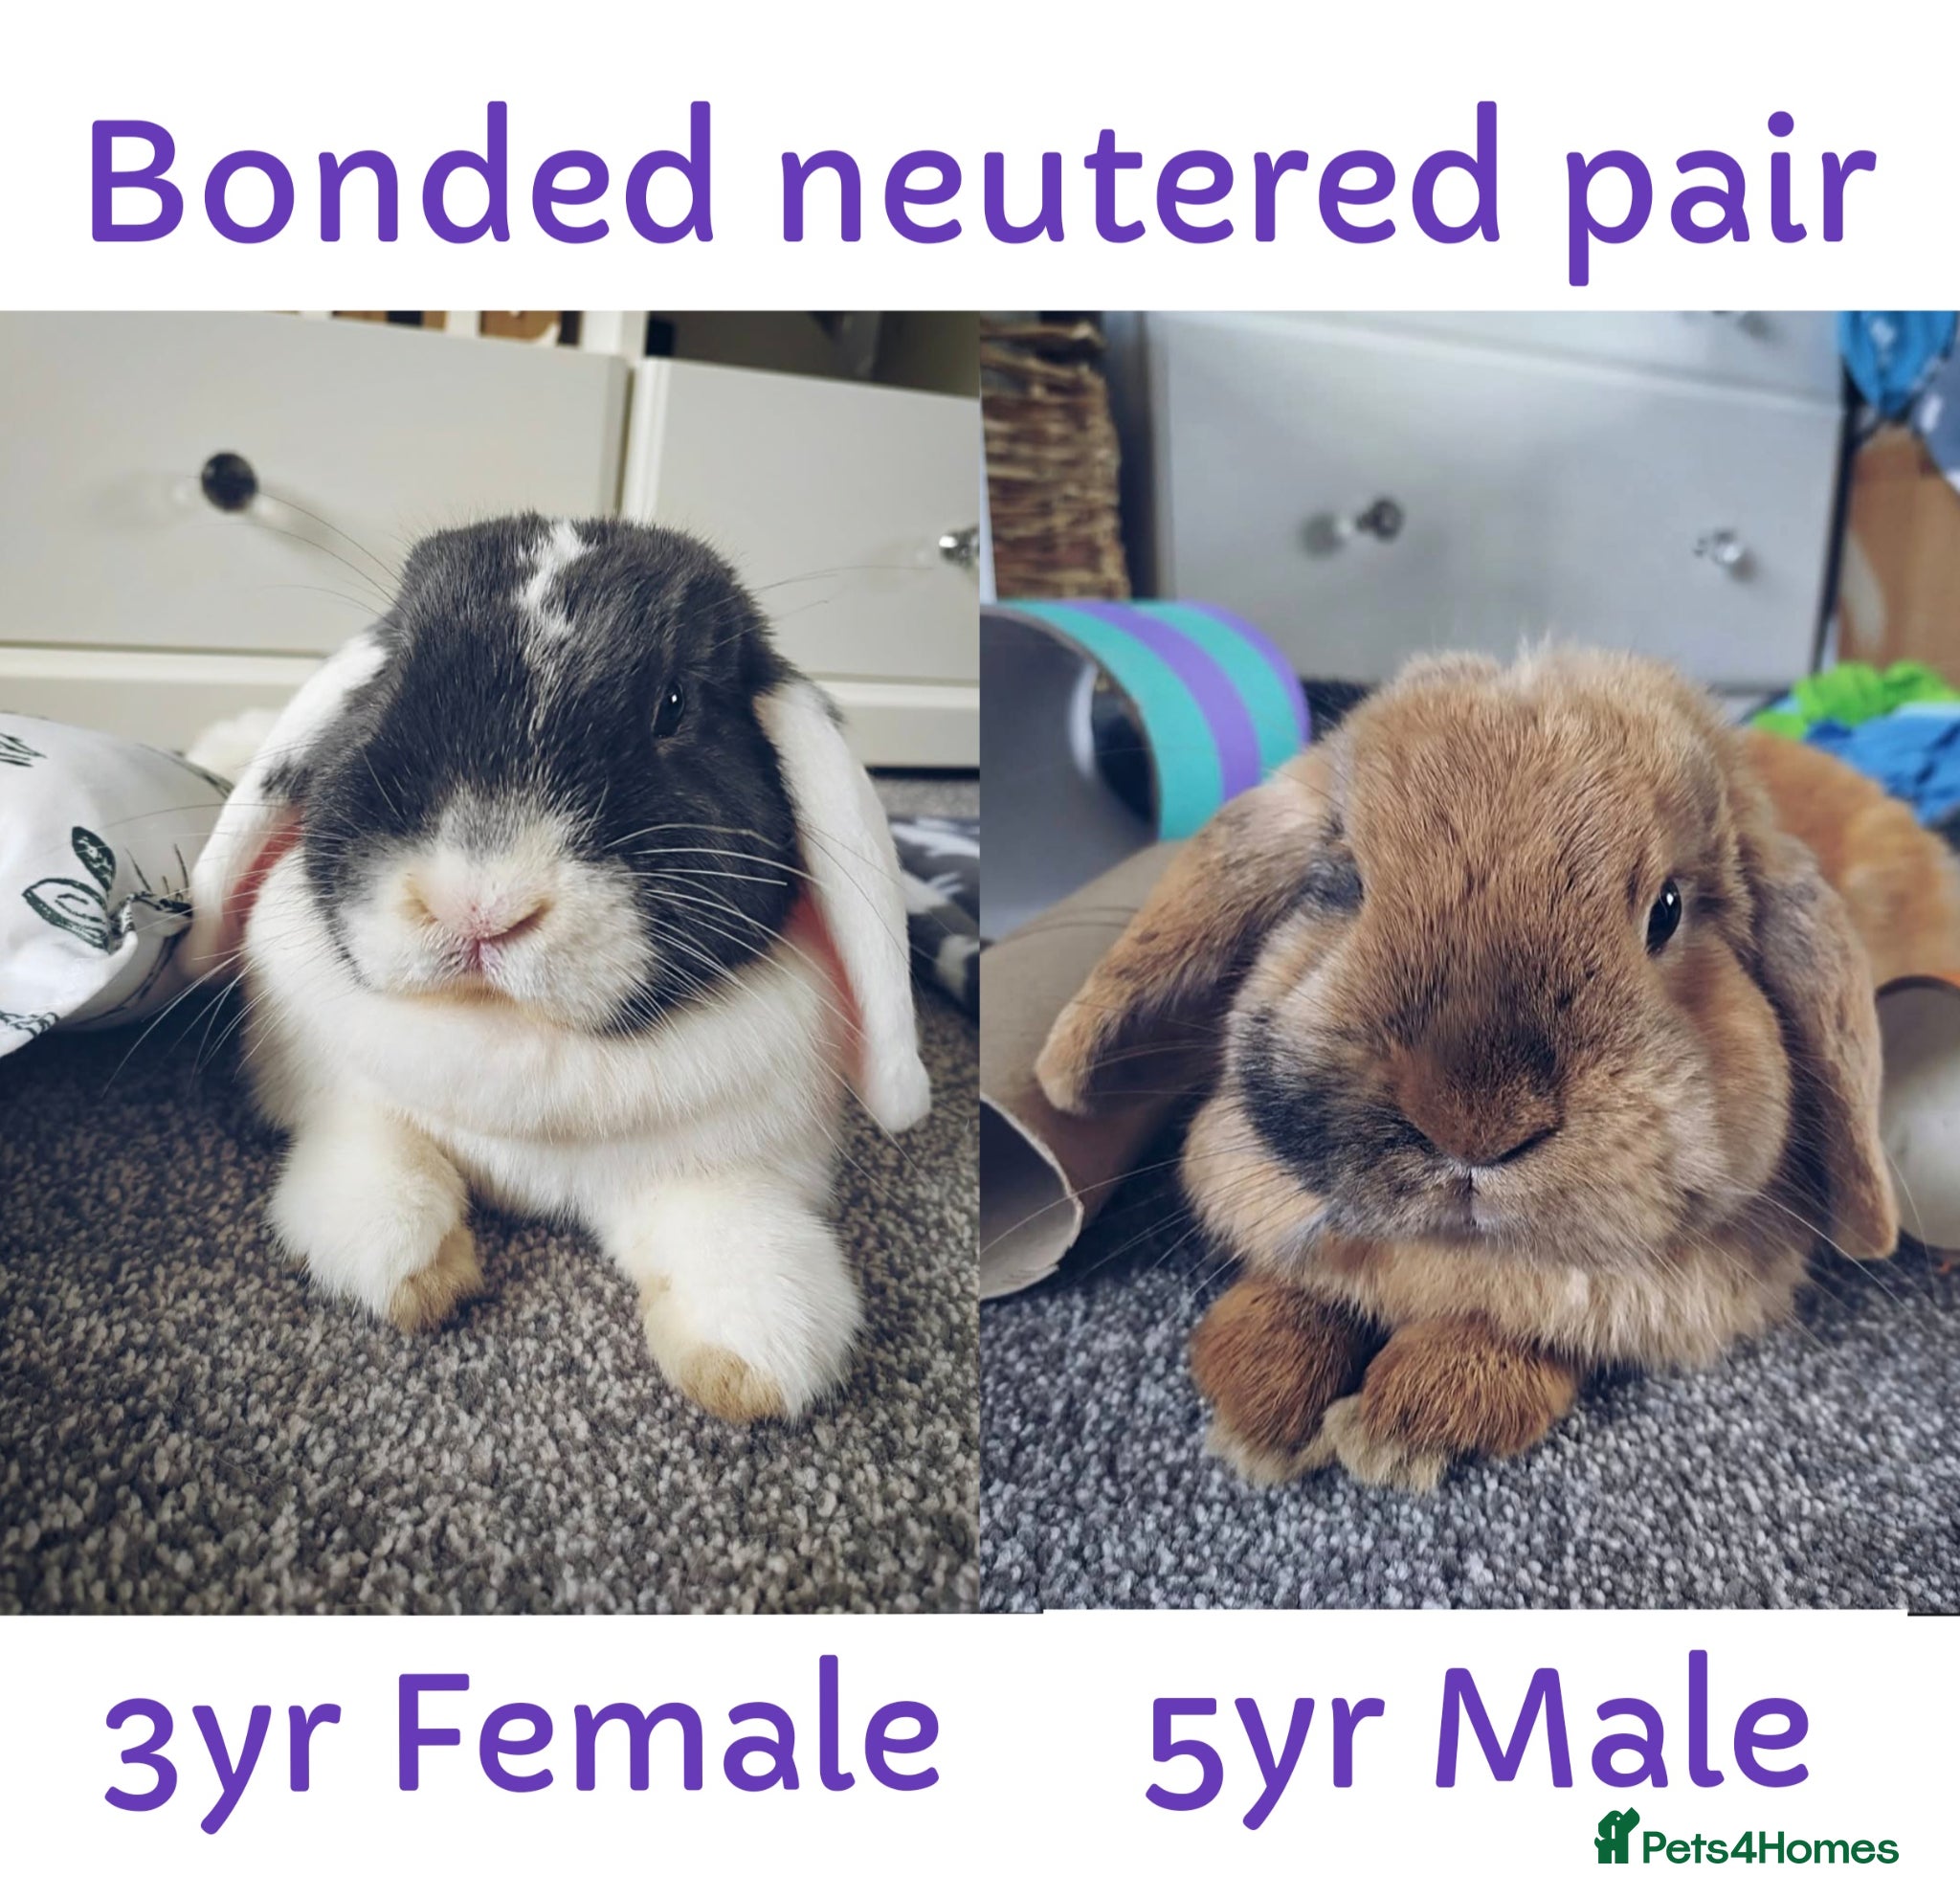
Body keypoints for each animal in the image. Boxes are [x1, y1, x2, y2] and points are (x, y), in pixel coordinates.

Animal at [184, 514, 930, 1424]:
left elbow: (732, 1226)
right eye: (396, 671)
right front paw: (416, 1273)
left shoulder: (732, 1161)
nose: (478, 902)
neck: (515, 1035)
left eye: (675, 704)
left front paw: (753, 1359)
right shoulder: (337, 1093)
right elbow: (380, 1152)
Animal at [1036, 647, 1960, 1491]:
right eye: (1345, 884)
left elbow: (1519, 1333)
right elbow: (1296, 1294)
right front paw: (1257, 1411)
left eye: (1666, 910)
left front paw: (1395, 1429)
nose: (1471, 1122)